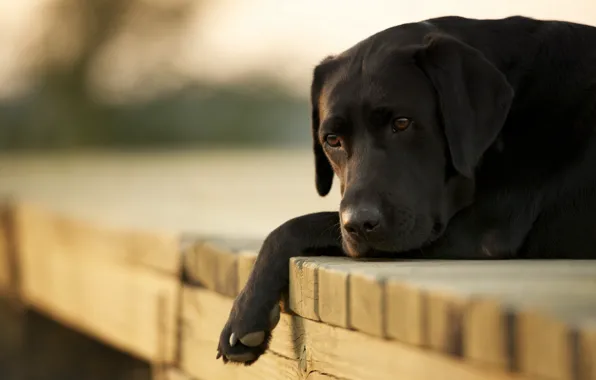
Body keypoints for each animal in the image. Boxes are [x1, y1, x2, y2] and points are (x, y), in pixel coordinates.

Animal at [217, 15, 596, 366]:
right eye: (332, 140)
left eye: (402, 123)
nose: (359, 224)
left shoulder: (481, 232)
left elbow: (295, 224)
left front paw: (245, 312)